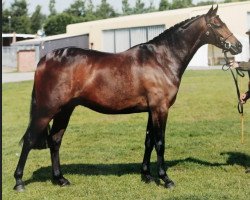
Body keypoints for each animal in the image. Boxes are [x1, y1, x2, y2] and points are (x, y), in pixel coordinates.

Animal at [12, 5, 241, 191]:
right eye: (217, 25)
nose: (238, 46)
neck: (161, 59)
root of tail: (45, 59)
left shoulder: (151, 110)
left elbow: (149, 141)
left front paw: (147, 175)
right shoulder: (160, 108)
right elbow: (160, 142)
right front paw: (165, 179)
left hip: (64, 110)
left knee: (55, 140)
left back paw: (60, 179)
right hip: (47, 110)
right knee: (30, 140)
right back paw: (19, 182)